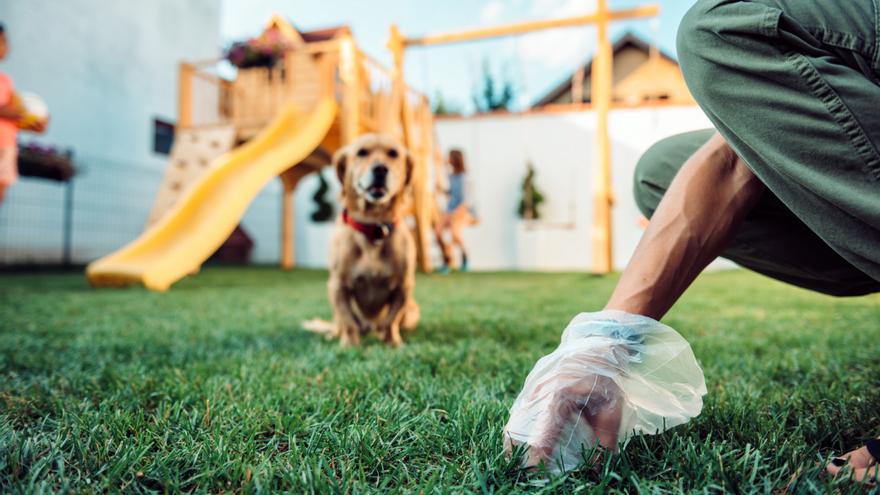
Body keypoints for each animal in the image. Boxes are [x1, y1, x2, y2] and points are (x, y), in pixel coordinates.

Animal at [314, 134, 422, 346]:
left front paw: (392, 342)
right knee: (340, 323)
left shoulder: (404, 287)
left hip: (413, 310)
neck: (373, 228)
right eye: (362, 152)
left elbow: (390, 320)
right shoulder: (337, 286)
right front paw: (349, 344)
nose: (380, 169)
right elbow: (348, 320)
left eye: (393, 153)